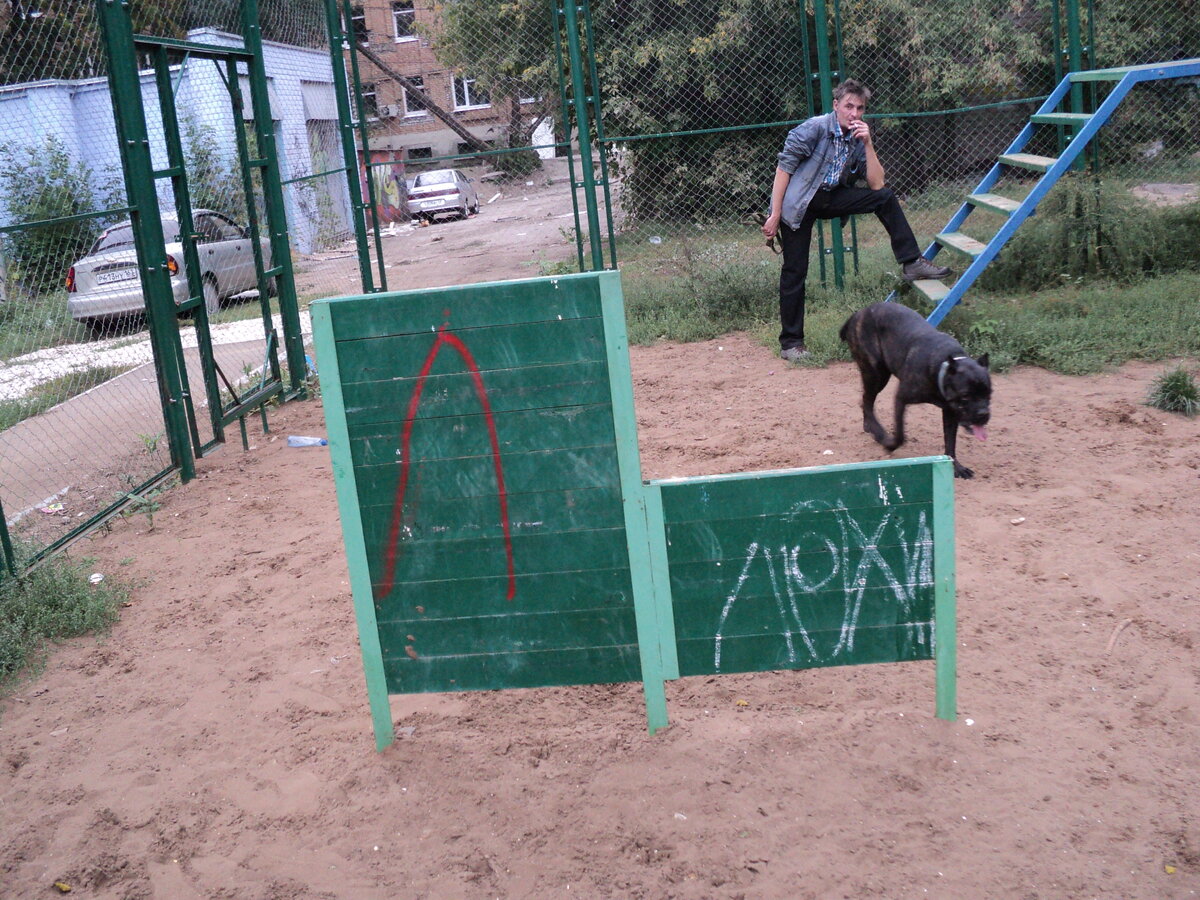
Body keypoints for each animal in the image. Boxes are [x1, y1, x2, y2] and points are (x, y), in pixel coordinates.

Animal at [840, 303, 988, 480]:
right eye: (965, 396)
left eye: (989, 393)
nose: (983, 414)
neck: (941, 368)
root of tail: (857, 314)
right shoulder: (901, 399)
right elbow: (901, 435)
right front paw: (890, 444)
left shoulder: (950, 413)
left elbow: (950, 443)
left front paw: (957, 468)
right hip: (876, 374)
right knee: (867, 401)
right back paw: (878, 433)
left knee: (865, 401)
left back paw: (870, 427)